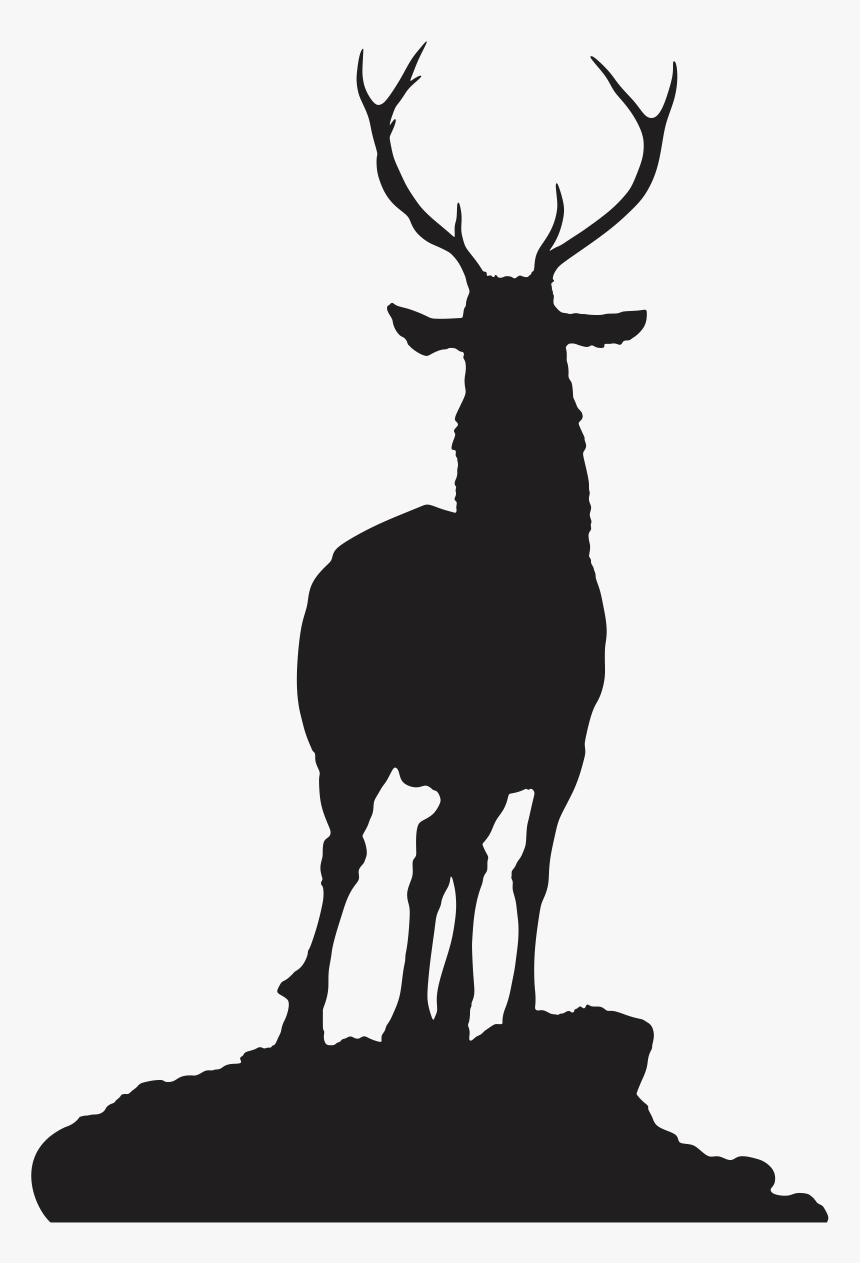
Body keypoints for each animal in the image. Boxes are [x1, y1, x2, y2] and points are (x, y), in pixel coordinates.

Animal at [277, 46, 676, 1047]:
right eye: (470, 334)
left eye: (548, 329)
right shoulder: (466, 745)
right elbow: (458, 861)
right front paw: (445, 1009)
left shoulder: (566, 746)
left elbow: (525, 870)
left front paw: (509, 1008)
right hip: (337, 731)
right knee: (349, 850)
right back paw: (310, 1011)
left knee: (431, 852)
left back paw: (405, 1012)